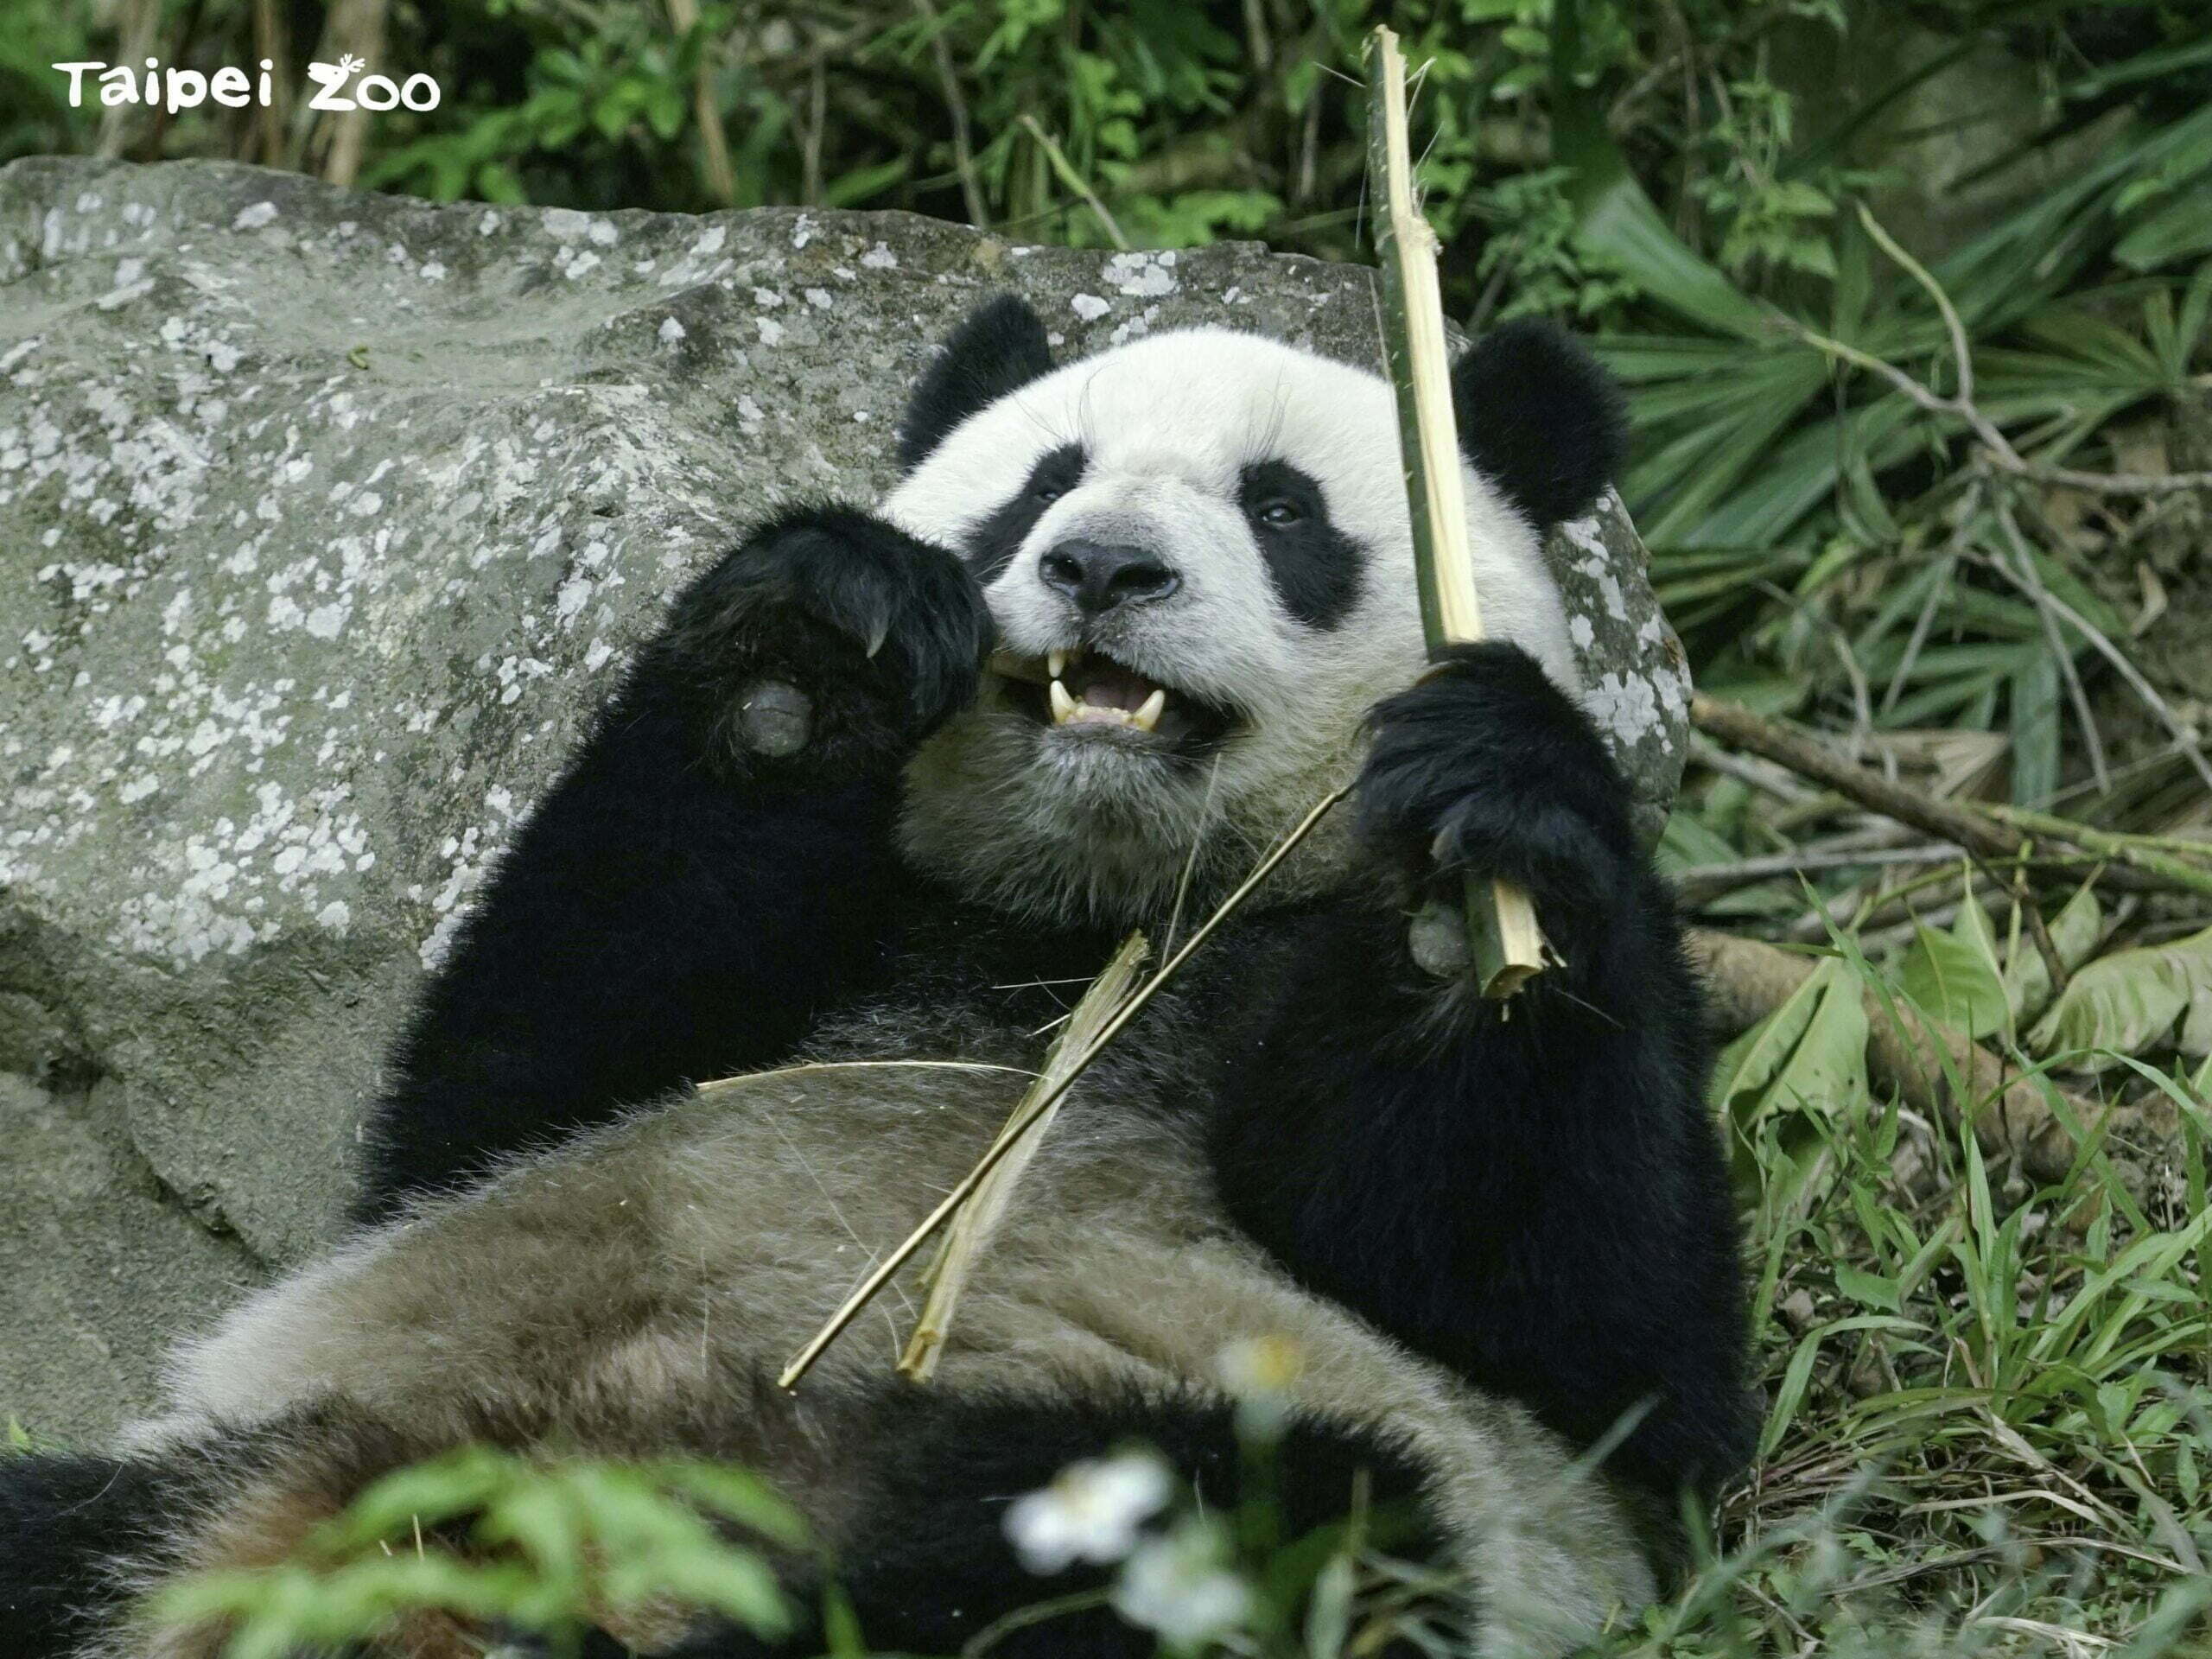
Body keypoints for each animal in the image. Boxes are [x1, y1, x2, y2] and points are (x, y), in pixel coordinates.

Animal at [9, 296, 1751, 1659]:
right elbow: (511, 1074)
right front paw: (814, 645)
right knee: (64, 1530)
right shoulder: (810, 973)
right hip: (284, 1442)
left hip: (1171, 1440)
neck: (1093, 922)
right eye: (1041, 483)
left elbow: (1599, 1334)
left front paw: (1475, 872)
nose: (1102, 566)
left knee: (1202, 1530)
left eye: (1284, 509)